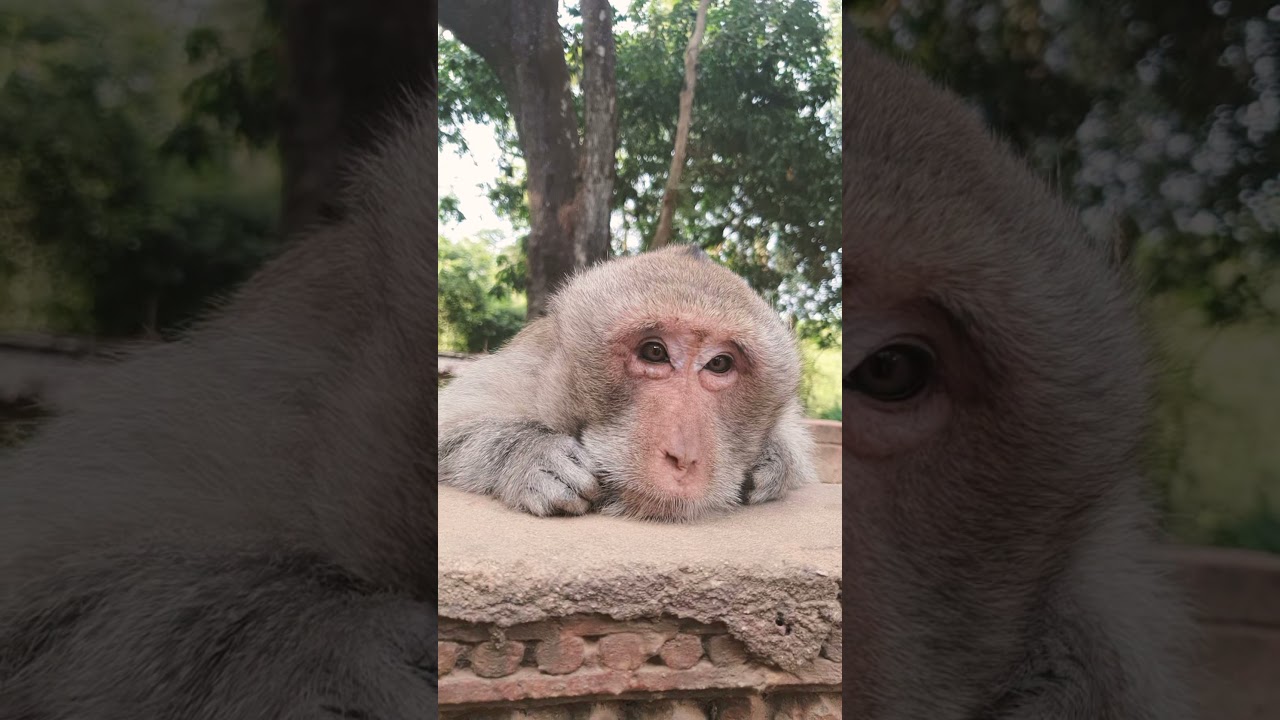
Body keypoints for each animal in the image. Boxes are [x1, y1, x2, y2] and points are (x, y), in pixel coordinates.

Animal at [437, 245, 818, 522]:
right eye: (654, 352)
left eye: (719, 363)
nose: (683, 457)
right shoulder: (531, 370)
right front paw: (534, 456)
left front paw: (774, 461)